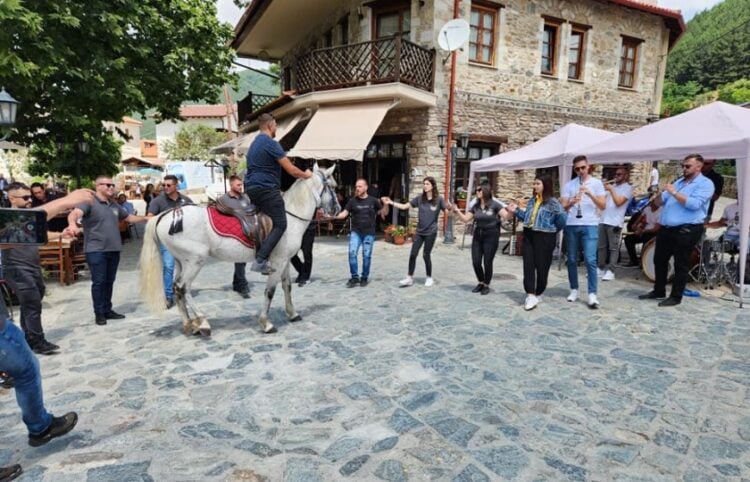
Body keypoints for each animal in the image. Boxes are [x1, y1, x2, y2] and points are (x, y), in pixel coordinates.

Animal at [140, 165, 340, 336]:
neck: (290, 216)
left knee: (177, 289)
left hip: (182, 262)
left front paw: (292, 314)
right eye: (333, 186)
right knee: (183, 288)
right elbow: (270, 291)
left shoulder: (285, 261)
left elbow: (287, 287)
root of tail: (166, 215)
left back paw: (189, 324)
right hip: (195, 261)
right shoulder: (278, 262)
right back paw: (202, 323)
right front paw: (266, 323)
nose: (337, 209)